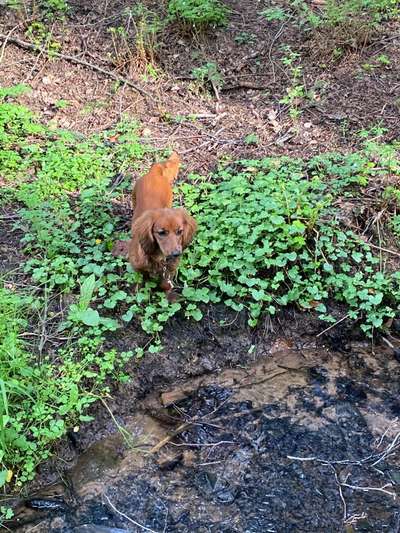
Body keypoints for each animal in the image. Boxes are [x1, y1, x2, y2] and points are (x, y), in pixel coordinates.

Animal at [126, 152, 196, 298]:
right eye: (161, 232)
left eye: (180, 231)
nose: (176, 254)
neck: (159, 257)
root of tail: (155, 171)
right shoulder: (137, 267)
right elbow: (141, 279)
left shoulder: (169, 269)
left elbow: (165, 282)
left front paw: (167, 290)